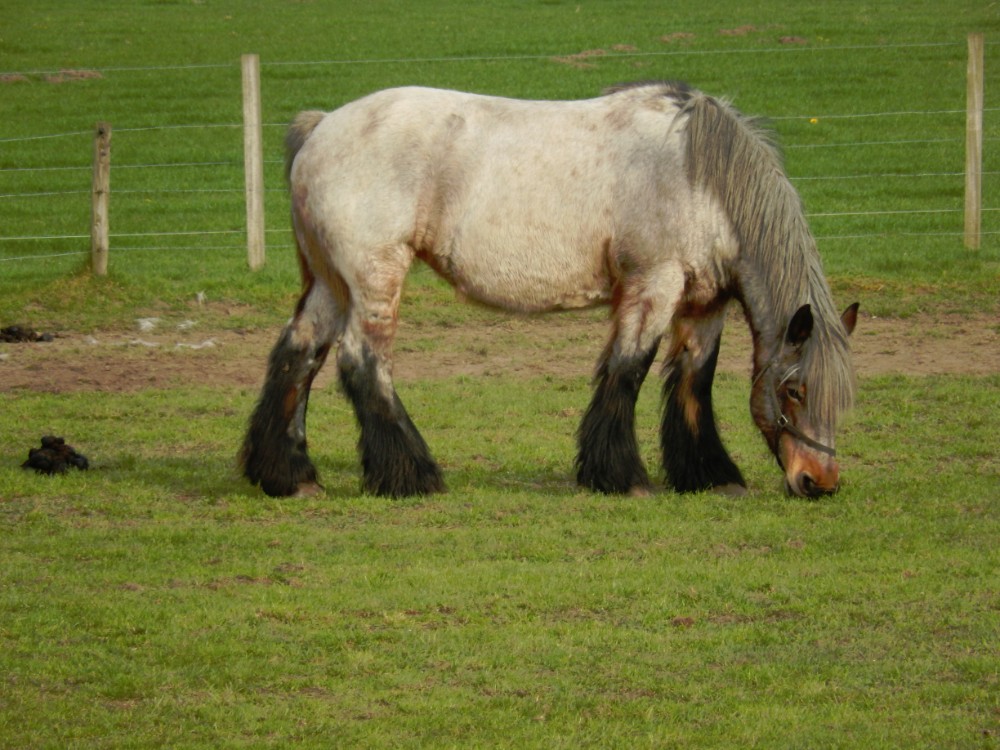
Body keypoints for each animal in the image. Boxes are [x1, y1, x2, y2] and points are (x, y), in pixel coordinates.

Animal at [242, 82, 860, 502]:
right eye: (796, 390)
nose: (818, 480)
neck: (699, 177)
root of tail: (321, 127)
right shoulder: (654, 284)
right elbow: (629, 369)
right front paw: (621, 477)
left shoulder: (704, 303)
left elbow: (693, 382)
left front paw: (709, 475)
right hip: (374, 280)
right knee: (362, 362)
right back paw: (411, 475)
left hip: (331, 284)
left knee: (299, 355)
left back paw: (289, 476)